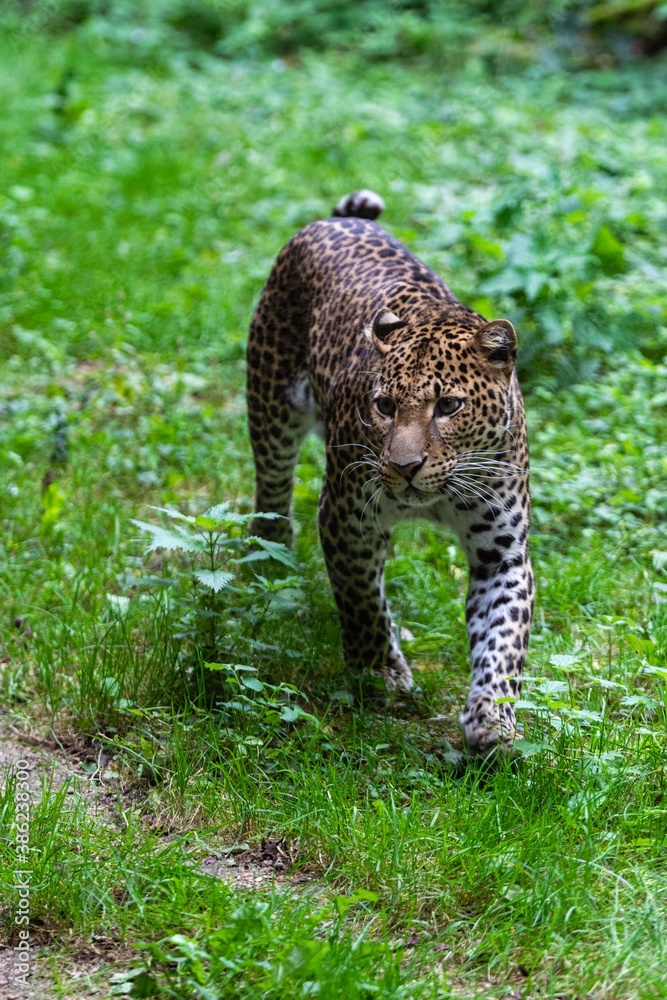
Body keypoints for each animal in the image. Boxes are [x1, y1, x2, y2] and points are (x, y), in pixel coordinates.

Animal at [246, 189, 534, 756]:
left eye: (448, 406)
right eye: (383, 406)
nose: (404, 467)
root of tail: (335, 222)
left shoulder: (502, 552)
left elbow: (503, 637)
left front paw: (492, 718)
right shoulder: (346, 517)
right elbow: (360, 597)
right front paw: (380, 671)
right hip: (271, 405)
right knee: (271, 490)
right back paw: (269, 554)